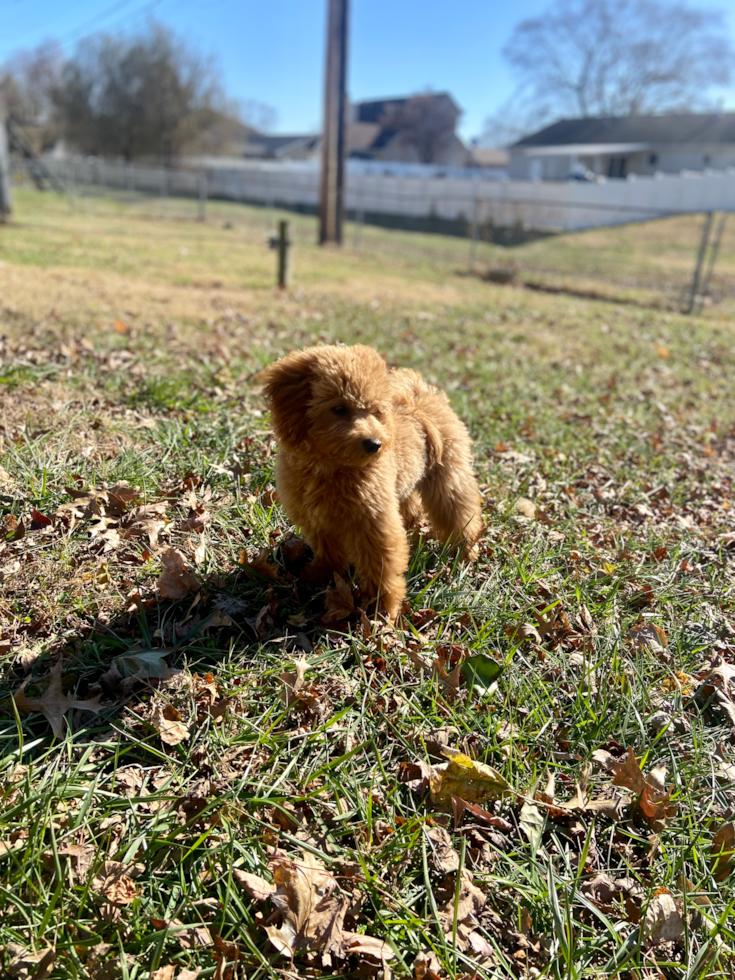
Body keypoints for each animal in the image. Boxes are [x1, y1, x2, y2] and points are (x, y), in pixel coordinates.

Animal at [264, 344, 484, 620]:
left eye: (375, 412)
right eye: (339, 408)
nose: (374, 444)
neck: (330, 467)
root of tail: (421, 398)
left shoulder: (373, 526)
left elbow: (382, 570)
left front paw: (381, 610)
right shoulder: (318, 522)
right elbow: (328, 553)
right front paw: (319, 576)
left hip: (449, 478)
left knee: (462, 515)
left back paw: (465, 553)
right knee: (414, 510)